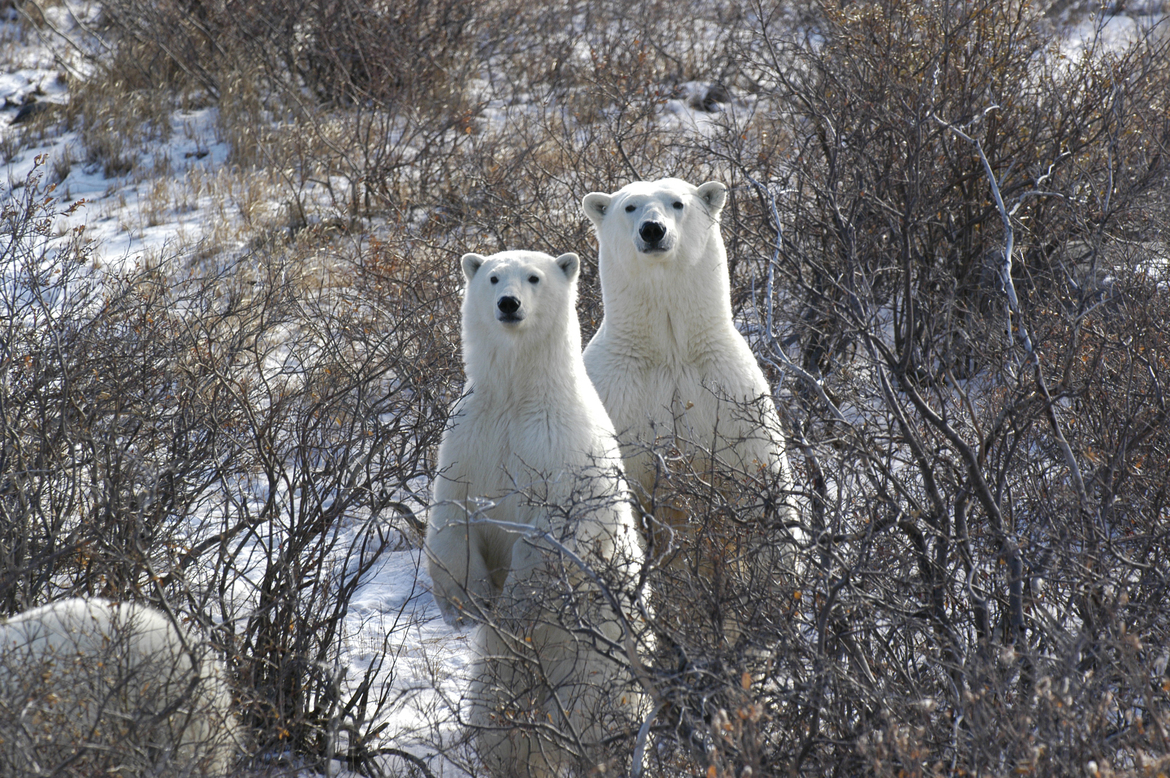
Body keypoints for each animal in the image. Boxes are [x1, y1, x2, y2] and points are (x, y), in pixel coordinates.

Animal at [424, 250, 648, 778]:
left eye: (533, 277)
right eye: (492, 277)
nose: (508, 303)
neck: (516, 394)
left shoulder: (554, 447)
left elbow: (548, 539)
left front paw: (511, 607)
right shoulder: (470, 437)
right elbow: (451, 515)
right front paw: (467, 607)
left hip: (597, 658)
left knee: (593, 719)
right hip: (502, 669)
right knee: (500, 718)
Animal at [581, 178, 806, 632]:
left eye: (677, 203)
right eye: (630, 207)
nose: (653, 230)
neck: (669, 352)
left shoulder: (730, 396)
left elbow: (763, 494)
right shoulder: (617, 396)